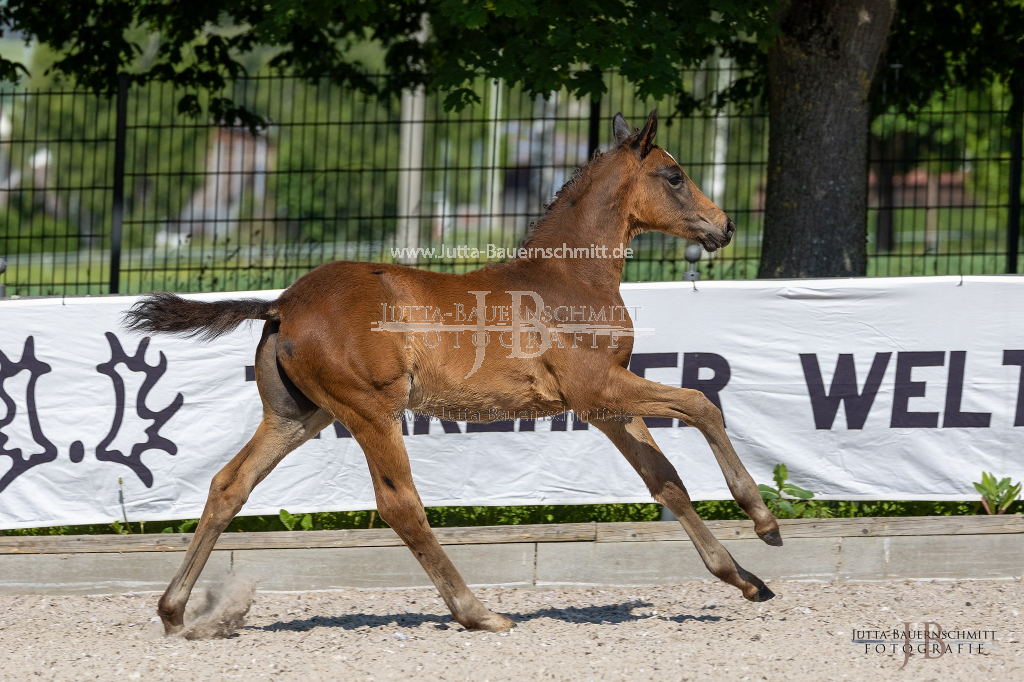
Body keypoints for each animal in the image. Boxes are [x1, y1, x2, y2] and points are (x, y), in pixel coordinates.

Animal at [130, 109, 782, 634]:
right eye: (674, 175)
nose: (724, 225)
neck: (569, 279)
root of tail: (282, 304)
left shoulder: (604, 407)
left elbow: (665, 479)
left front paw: (747, 579)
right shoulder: (596, 386)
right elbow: (701, 404)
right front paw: (764, 520)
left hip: (297, 416)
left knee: (228, 484)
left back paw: (174, 612)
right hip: (371, 411)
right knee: (400, 506)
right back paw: (479, 612)